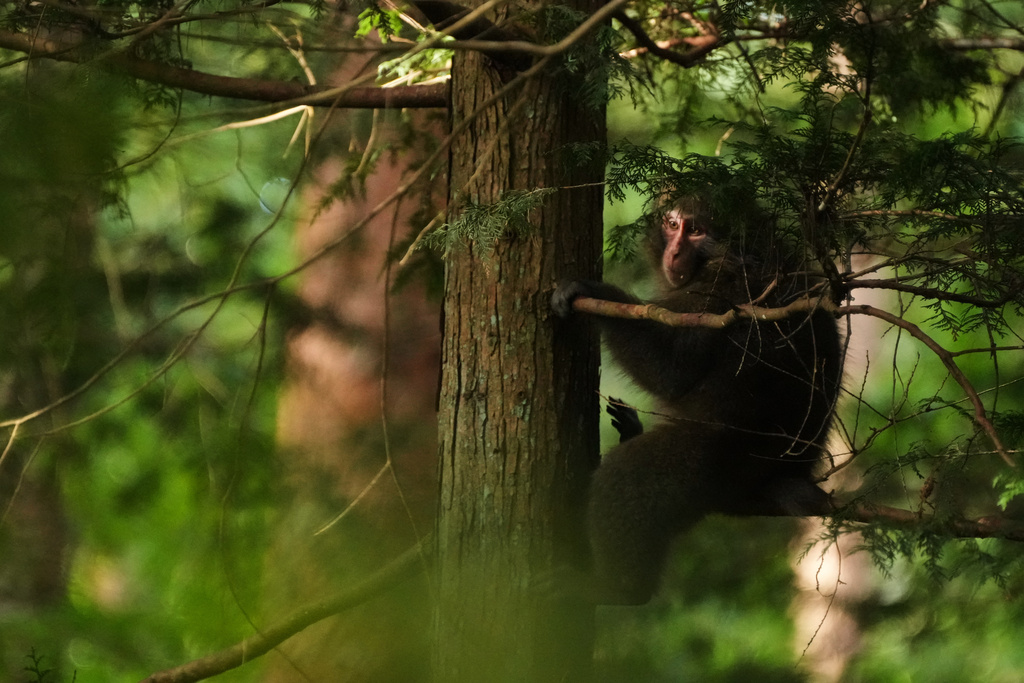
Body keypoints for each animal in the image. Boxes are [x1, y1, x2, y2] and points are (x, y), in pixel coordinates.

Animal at [551, 197, 842, 605]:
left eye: (696, 230)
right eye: (672, 225)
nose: (674, 252)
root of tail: (785, 474)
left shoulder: (720, 292)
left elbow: (671, 372)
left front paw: (593, 293)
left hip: (715, 465)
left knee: (631, 475)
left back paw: (620, 587)